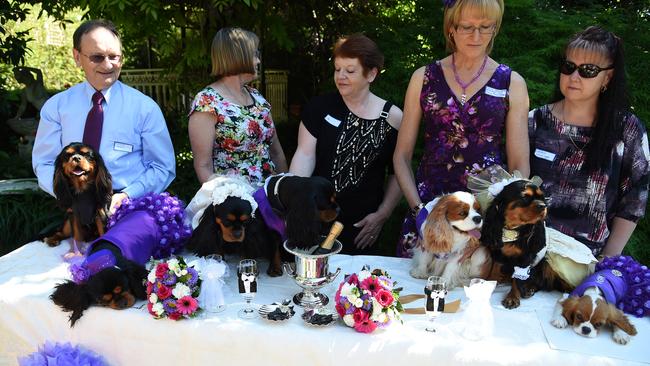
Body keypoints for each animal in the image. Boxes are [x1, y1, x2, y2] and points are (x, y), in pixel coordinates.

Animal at [480, 180, 568, 308]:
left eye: (542, 198)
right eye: (524, 197)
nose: (543, 206)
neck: (512, 230)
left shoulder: (524, 259)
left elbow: (517, 280)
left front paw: (512, 298)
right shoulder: (496, 252)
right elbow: (494, 268)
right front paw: (489, 282)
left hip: (546, 264)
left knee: (543, 284)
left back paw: (528, 289)